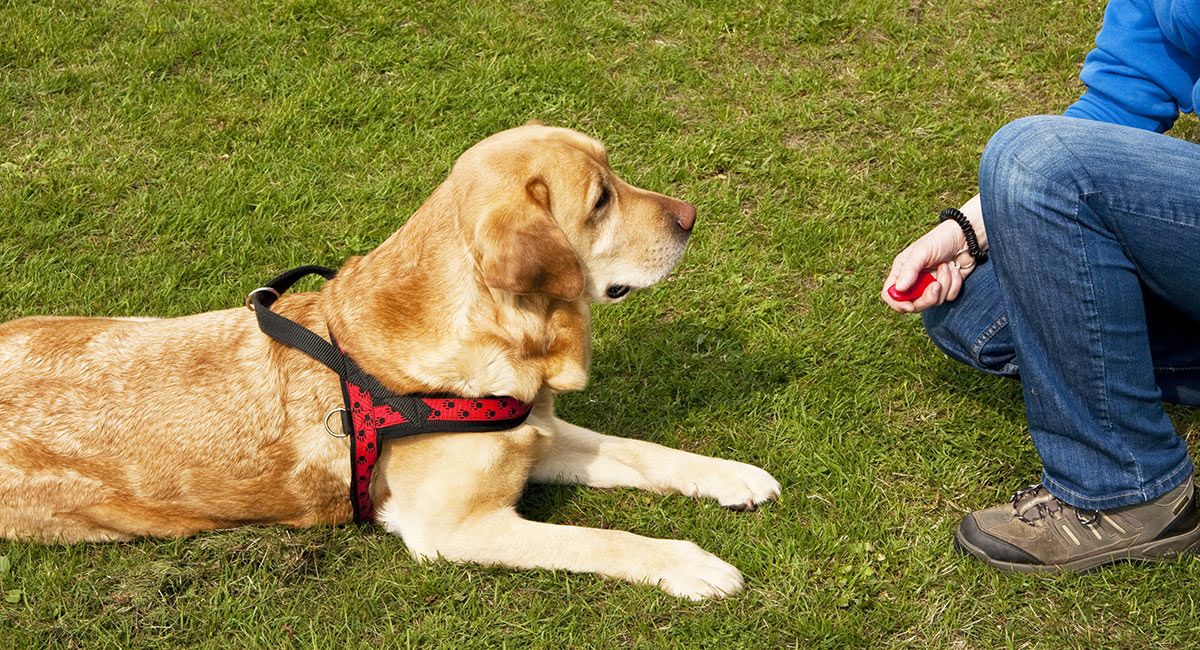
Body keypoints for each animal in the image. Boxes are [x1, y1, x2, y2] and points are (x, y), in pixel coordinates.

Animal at [0, 122, 777, 602]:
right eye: (600, 200)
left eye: (614, 171)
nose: (692, 216)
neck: (506, 335)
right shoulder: (454, 529)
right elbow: (604, 540)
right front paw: (689, 563)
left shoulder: (539, 433)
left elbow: (645, 450)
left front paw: (732, 475)